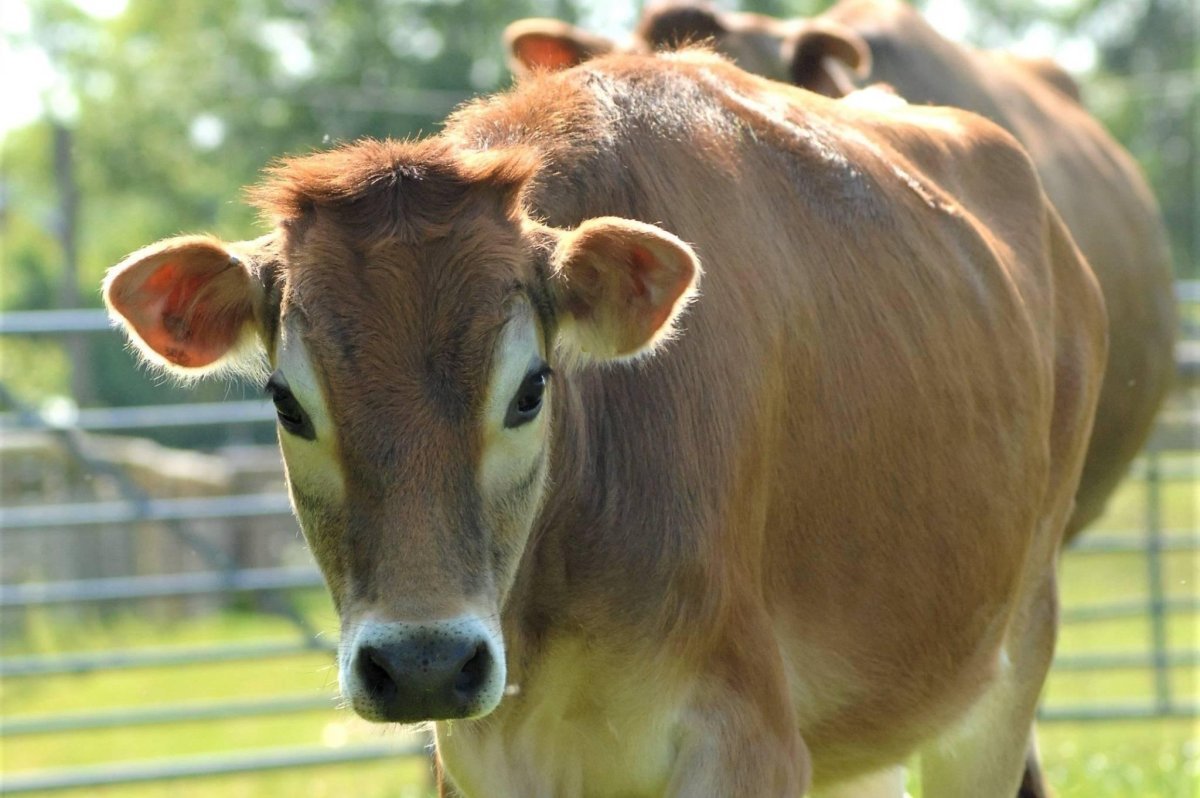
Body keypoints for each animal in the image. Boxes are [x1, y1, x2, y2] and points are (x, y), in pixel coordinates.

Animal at [104, 51, 1106, 797]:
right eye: (286, 400)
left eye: (529, 390)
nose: (425, 662)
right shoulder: (484, 757)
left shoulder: (746, 738)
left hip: (1006, 667)